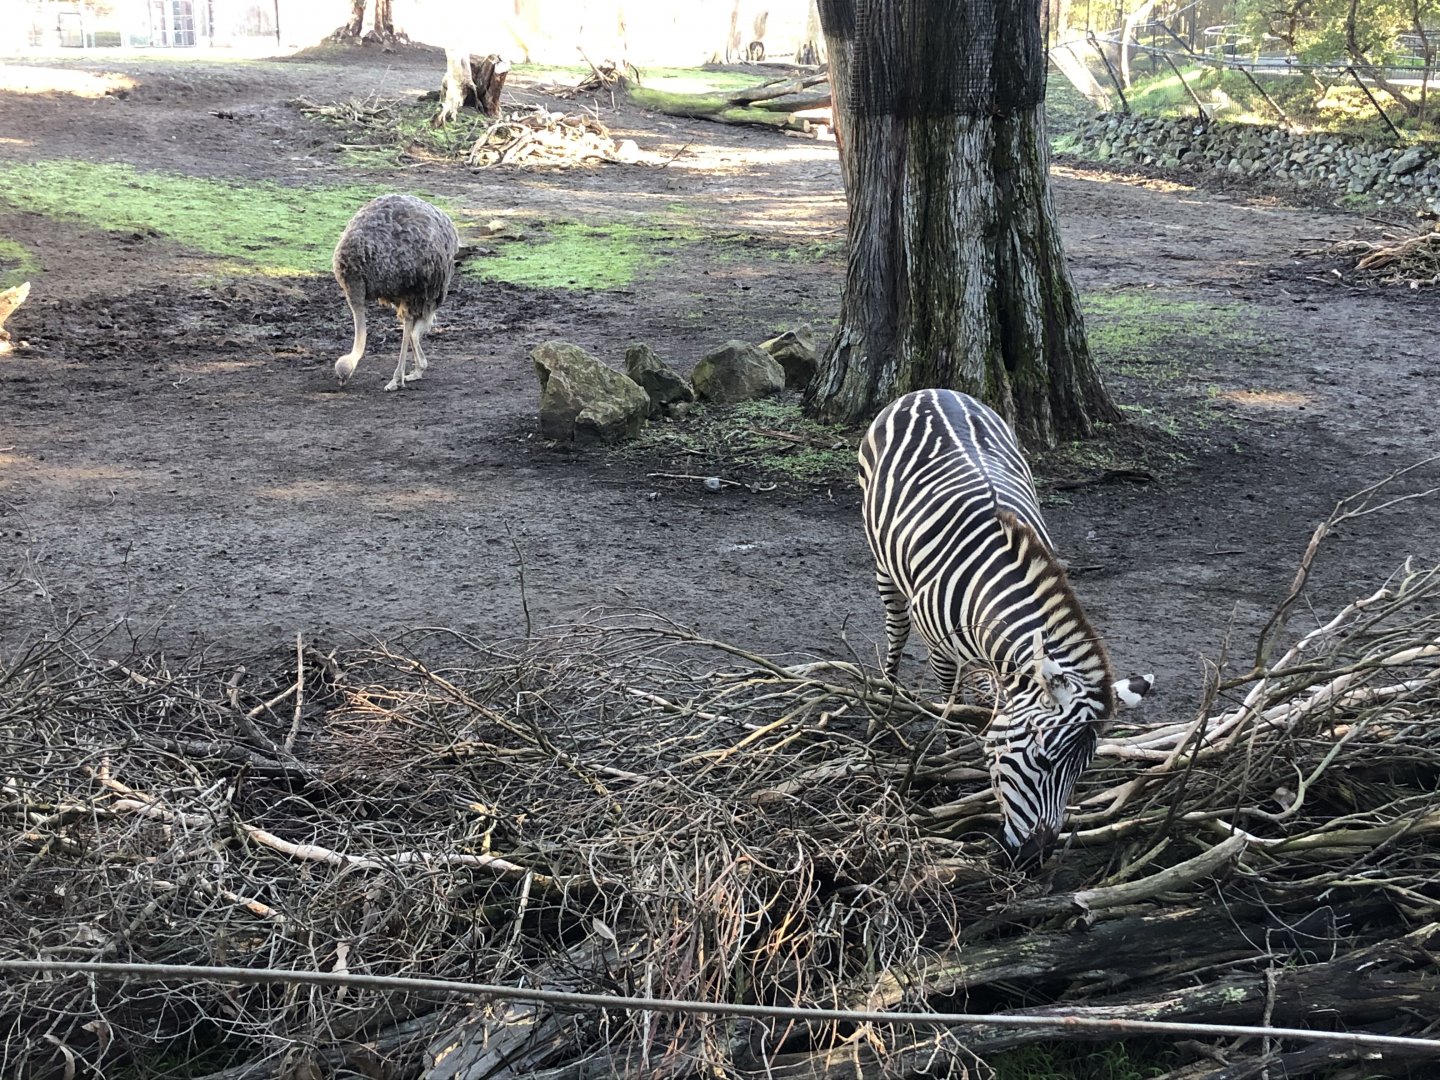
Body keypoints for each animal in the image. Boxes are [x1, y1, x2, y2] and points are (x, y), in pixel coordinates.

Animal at [859, 389, 1153, 863]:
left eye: (1083, 770)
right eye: (1044, 760)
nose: (1035, 858)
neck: (990, 580)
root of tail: (931, 390)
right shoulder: (941, 648)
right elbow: (949, 702)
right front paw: (951, 766)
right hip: (883, 563)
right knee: (895, 631)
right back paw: (882, 707)